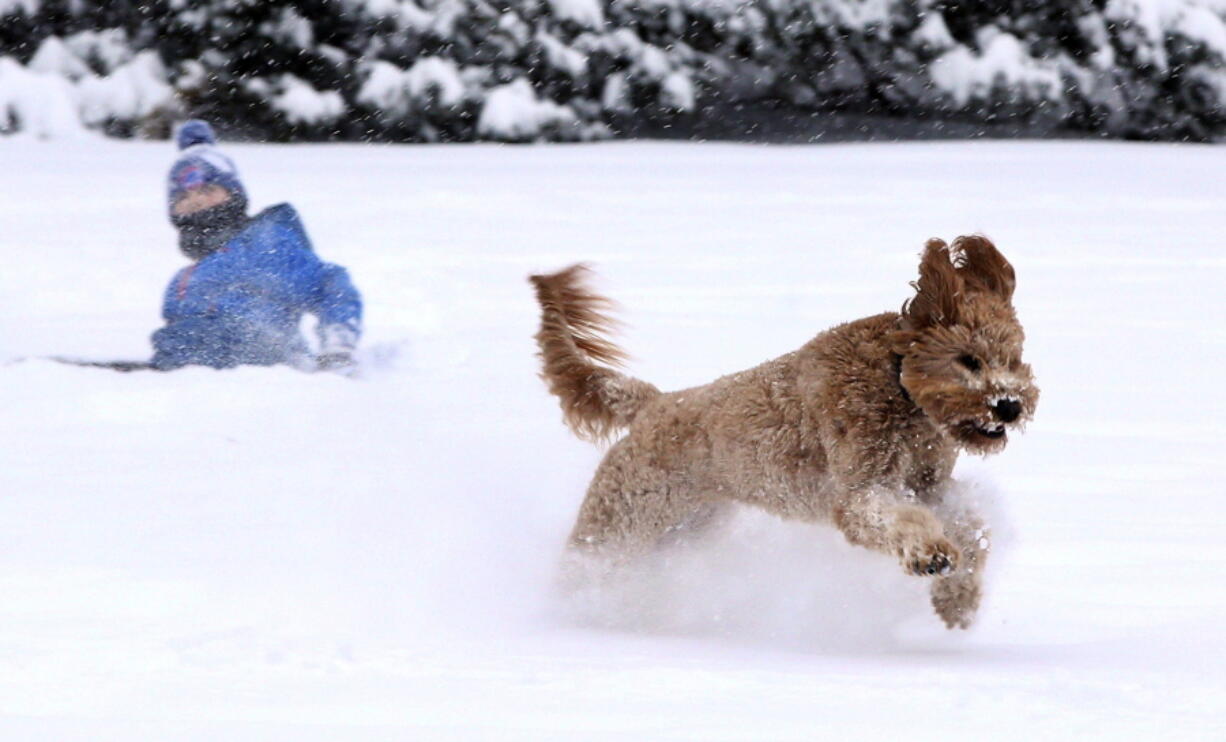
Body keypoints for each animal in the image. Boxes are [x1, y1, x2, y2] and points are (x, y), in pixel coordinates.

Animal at [532, 235, 1039, 625]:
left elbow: (971, 526)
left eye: (1013, 358)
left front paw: (959, 599)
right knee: (580, 569)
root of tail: (653, 402)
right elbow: (897, 519)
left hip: (687, 528)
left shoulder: (930, 485)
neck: (898, 385)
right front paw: (929, 553)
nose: (1010, 405)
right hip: (619, 519)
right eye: (968, 359)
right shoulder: (862, 488)